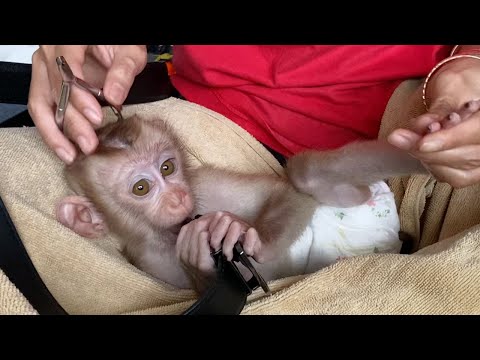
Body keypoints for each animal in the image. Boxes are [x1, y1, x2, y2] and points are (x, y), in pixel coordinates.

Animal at [55, 114, 428, 292]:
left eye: (167, 167)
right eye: (142, 187)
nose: (178, 196)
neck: (169, 232)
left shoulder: (205, 185)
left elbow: (281, 192)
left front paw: (252, 239)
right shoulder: (150, 262)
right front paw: (199, 260)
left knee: (304, 176)